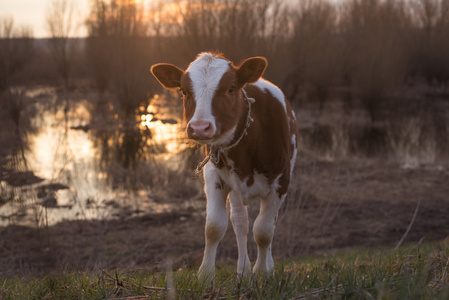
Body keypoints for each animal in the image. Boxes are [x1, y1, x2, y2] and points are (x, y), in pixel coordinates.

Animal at [151, 52, 298, 282]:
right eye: (184, 91)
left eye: (230, 89)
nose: (199, 128)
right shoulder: (213, 177)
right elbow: (214, 227)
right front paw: (205, 275)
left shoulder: (280, 182)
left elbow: (264, 231)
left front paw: (262, 272)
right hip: (236, 191)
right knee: (240, 224)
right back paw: (242, 270)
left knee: (268, 223)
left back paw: (266, 266)